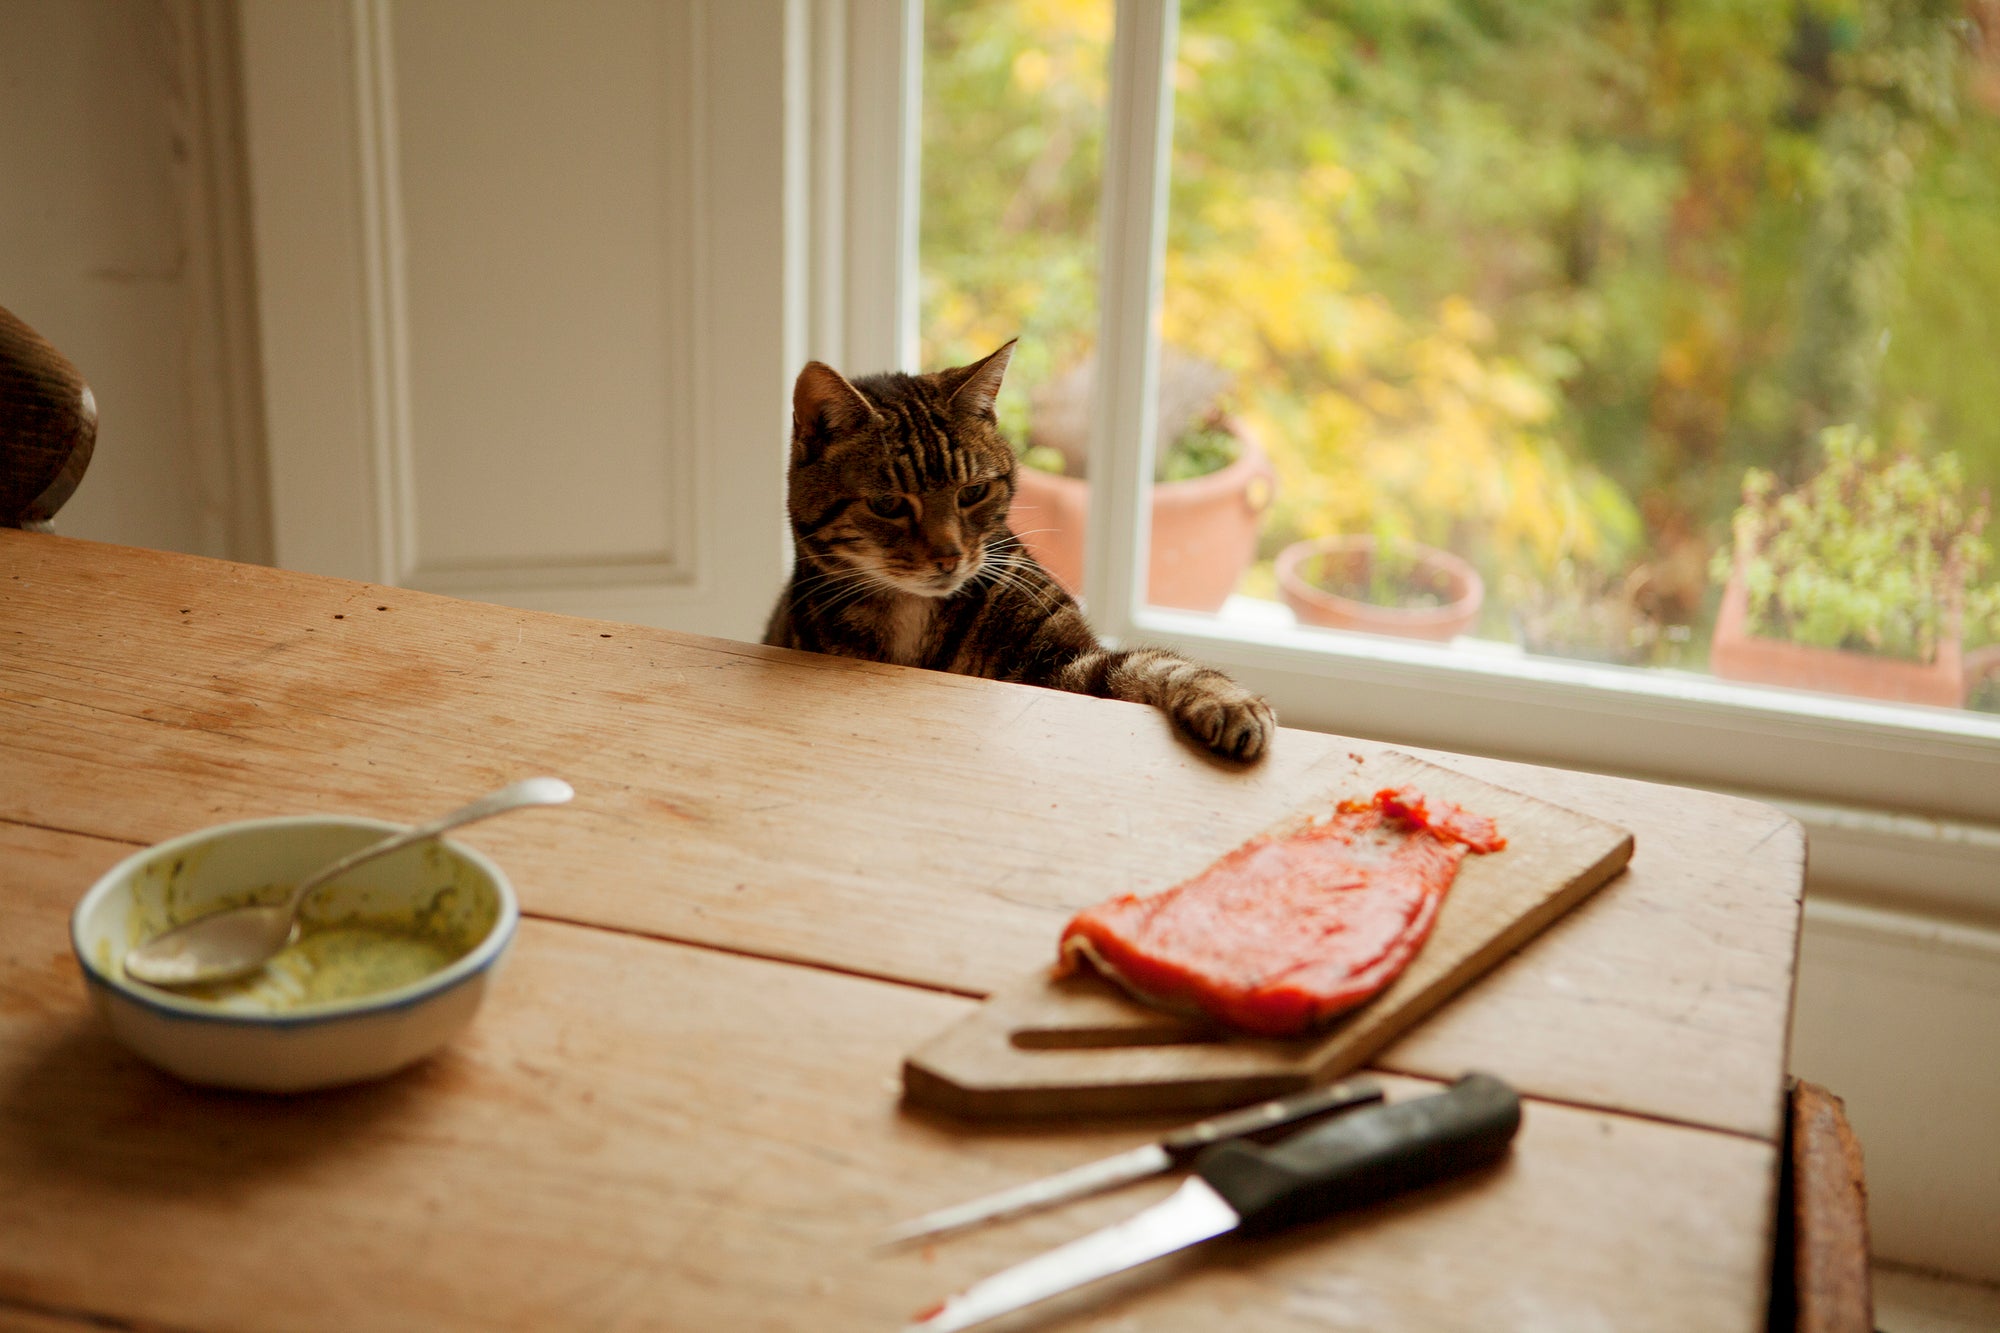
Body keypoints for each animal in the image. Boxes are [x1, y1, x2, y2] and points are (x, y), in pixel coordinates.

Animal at [756, 338, 1272, 764]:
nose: (949, 556)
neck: (914, 614)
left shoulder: (1059, 662)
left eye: (973, 492)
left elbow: (1147, 664)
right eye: (887, 504)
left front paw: (1226, 701)